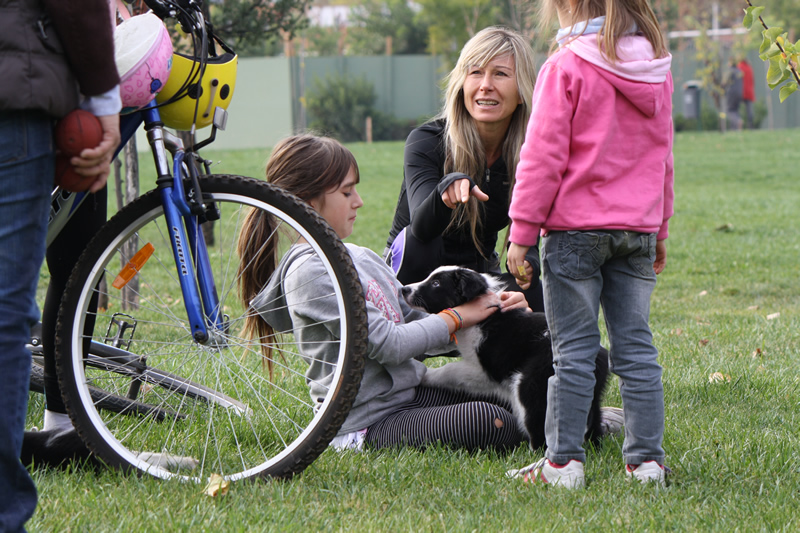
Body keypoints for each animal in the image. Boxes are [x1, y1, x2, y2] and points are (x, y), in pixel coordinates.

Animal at [404, 264, 608, 446]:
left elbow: (450, 370)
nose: (404, 289)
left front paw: (426, 375)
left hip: (531, 384)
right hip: (592, 394)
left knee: (540, 427)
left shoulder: (484, 371)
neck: (486, 317)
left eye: (436, 283)